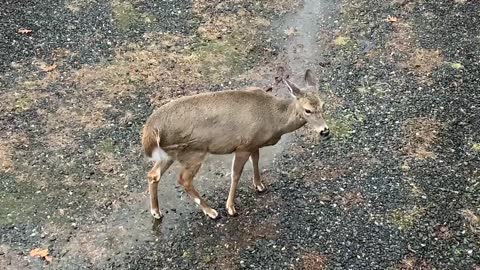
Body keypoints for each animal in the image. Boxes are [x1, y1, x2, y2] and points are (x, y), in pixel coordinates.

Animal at [141, 69, 332, 219]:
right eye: (308, 110)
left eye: (323, 105)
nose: (325, 131)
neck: (274, 119)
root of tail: (151, 128)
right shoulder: (243, 145)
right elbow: (235, 174)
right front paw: (231, 207)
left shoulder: (253, 143)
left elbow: (256, 160)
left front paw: (259, 185)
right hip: (193, 152)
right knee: (183, 180)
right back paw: (211, 211)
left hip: (169, 154)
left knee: (153, 174)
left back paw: (156, 211)